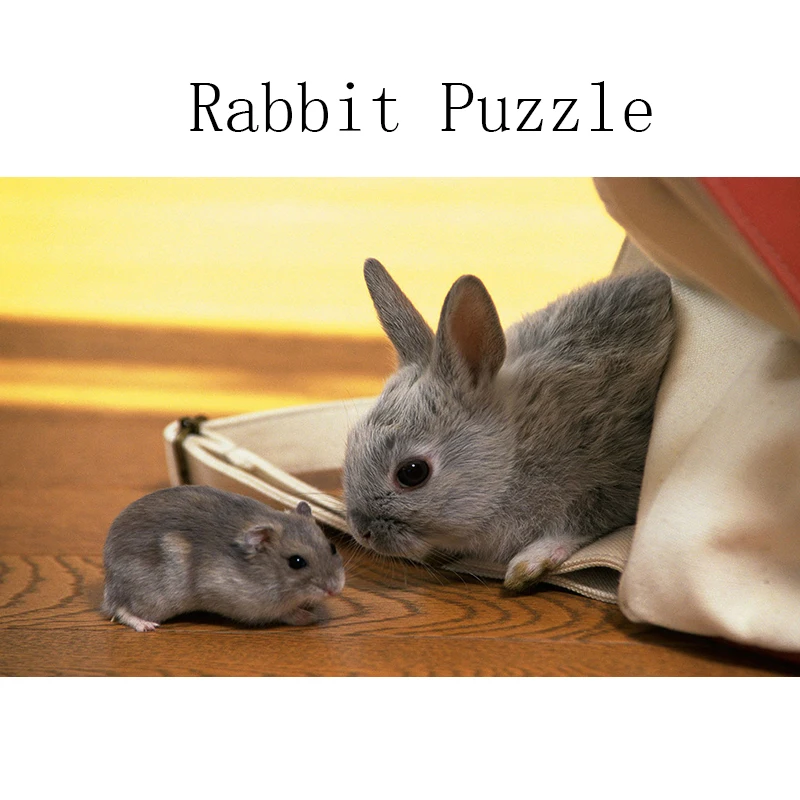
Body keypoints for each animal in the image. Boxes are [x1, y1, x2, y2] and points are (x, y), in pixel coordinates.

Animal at [343, 258, 675, 592]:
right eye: (351, 441)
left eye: (412, 473)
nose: (362, 532)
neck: (514, 454)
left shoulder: (612, 473)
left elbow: (579, 525)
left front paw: (527, 565)